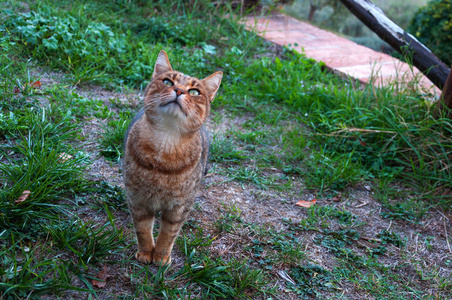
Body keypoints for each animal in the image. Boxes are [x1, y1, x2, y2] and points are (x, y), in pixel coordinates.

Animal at [123, 49, 222, 264]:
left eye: (195, 92)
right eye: (168, 81)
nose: (179, 91)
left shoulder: (180, 206)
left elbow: (168, 234)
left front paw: (161, 256)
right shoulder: (137, 198)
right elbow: (143, 229)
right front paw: (145, 252)